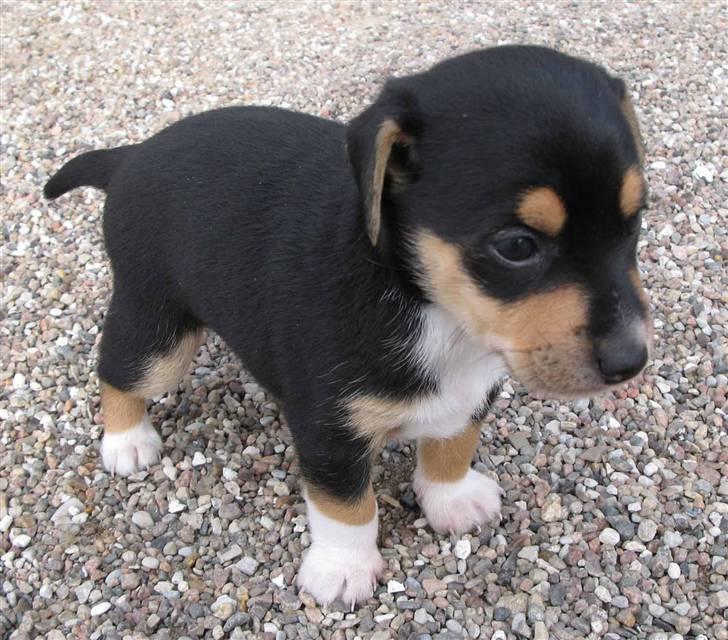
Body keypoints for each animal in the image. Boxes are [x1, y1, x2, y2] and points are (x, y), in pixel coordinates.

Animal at [42, 43, 652, 604]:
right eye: (517, 246)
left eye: (633, 222)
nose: (631, 362)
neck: (431, 308)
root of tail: (130, 156)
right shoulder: (328, 425)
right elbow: (347, 504)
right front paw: (343, 569)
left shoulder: (471, 390)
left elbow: (453, 442)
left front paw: (452, 499)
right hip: (158, 328)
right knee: (118, 371)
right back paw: (126, 442)